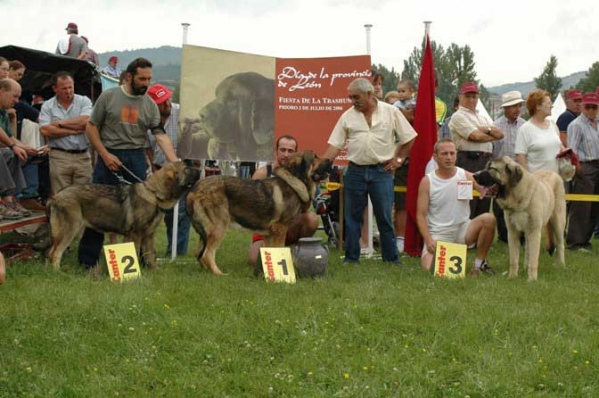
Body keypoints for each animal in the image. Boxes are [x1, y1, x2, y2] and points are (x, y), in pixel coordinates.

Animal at [47, 162, 200, 270]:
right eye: (187, 168)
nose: (199, 170)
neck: (153, 194)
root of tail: (55, 196)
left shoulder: (149, 235)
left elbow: (151, 255)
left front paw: (155, 271)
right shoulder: (136, 235)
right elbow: (136, 253)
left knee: (51, 252)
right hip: (70, 229)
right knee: (55, 253)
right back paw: (58, 272)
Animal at [186, 151, 332, 276]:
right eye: (315, 157)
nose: (331, 160)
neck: (295, 181)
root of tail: (194, 190)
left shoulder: (270, 234)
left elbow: (270, 251)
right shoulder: (280, 229)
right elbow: (279, 250)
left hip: (206, 232)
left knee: (199, 253)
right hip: (219, 227)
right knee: (207, 254)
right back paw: (219, 274)